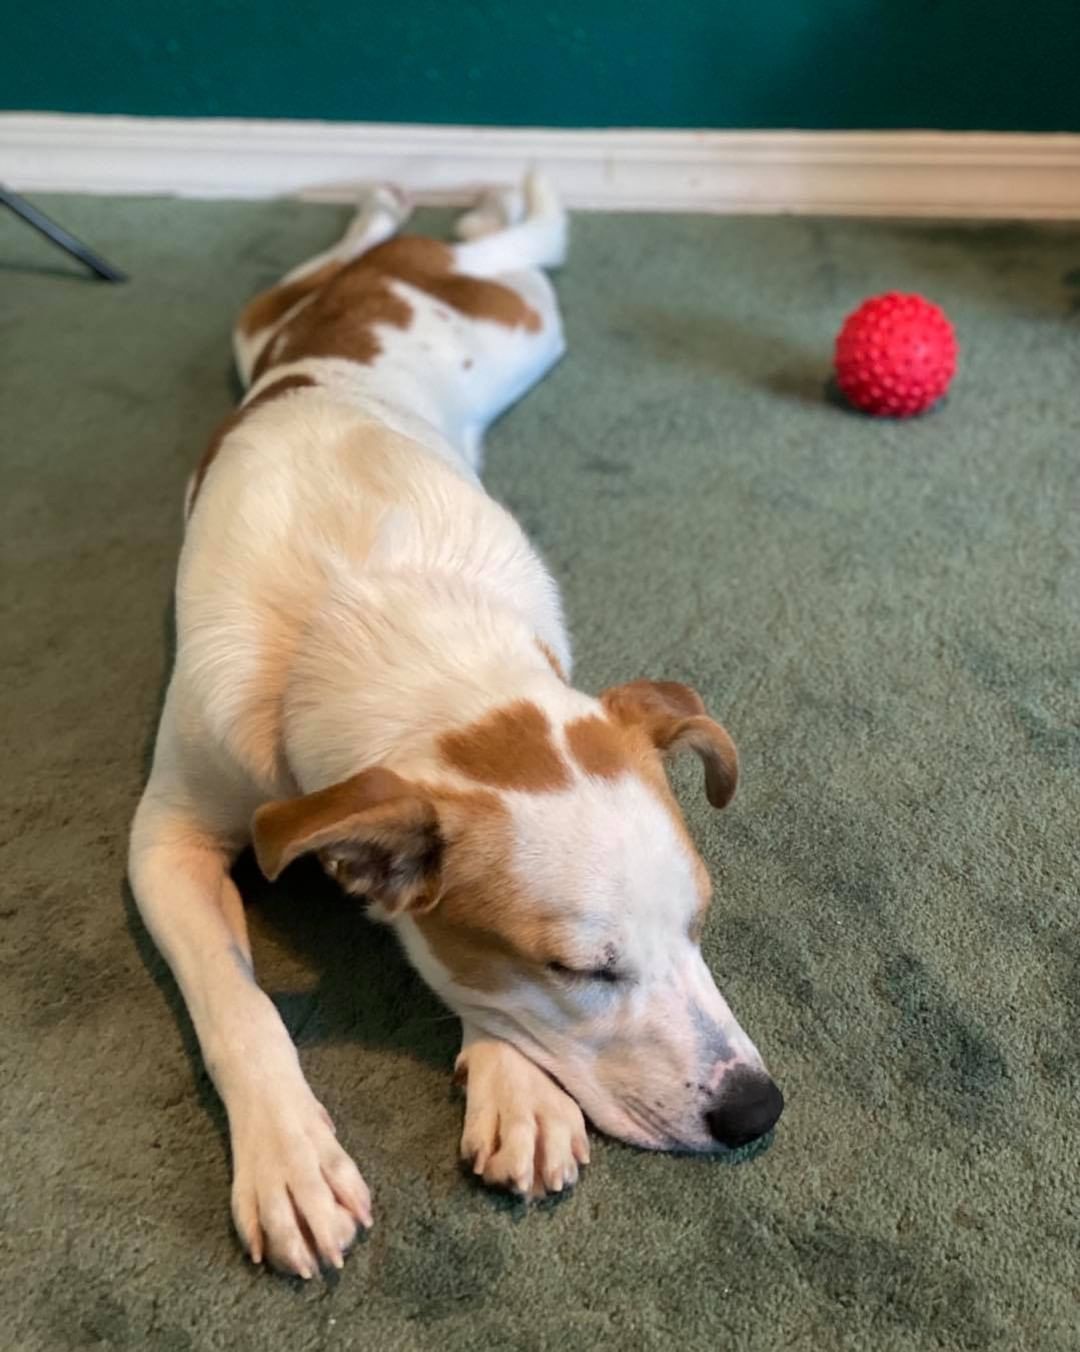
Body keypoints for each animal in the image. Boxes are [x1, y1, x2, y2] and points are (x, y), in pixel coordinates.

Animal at [129, 177, 783, 1276]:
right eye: (580, 969)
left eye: (699, 919)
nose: (757, 1111)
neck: (374, 608)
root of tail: (412, 270)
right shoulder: (165, 839)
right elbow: (237, 1003)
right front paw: (290, 1156)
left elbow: (480, 996)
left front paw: (515, 1083)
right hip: (268, 320)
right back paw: (393, 208)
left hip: (524, 323)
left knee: (512, 242)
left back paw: (452, 206)